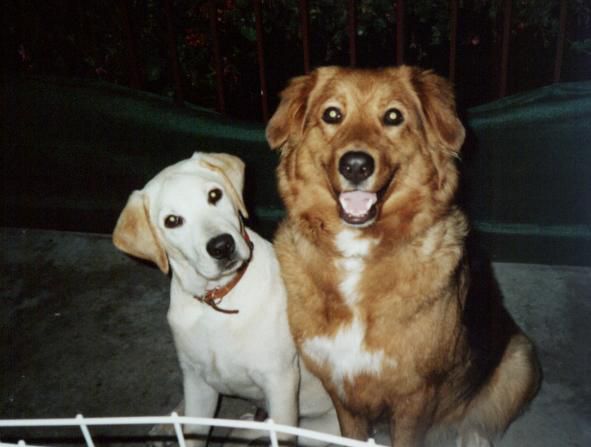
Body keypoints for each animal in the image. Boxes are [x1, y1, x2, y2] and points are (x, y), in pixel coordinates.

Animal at [113, 153, 340, 444]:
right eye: (172, 221)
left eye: (214, 195)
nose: (222, 246)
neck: (219, 302)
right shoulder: (199, 386)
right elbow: (194, 433)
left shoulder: (280, 382)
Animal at [268, 66, 540, 447]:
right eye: (332, 115)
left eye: (393, 117)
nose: (355, 166)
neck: (358, 251)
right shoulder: (340, 388)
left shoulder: (415, 397)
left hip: (520, 361)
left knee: (477, 423)